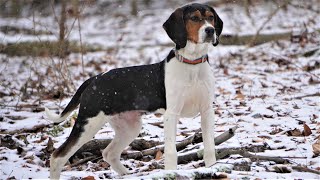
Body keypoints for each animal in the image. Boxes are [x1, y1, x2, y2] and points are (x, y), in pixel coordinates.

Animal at [45, 2, 222, 179]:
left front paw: (212, 168)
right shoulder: (171, 114)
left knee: (109, 153)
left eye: (211, 17)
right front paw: (171, 172)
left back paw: (126, 174)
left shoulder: (207, 111)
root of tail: (95, 78)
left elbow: (210, 147)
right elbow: (171, 152)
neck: (192, 64)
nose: (210, 30)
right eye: (194, 18)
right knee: (57, 156)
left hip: (129, 127)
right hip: (88, 123)